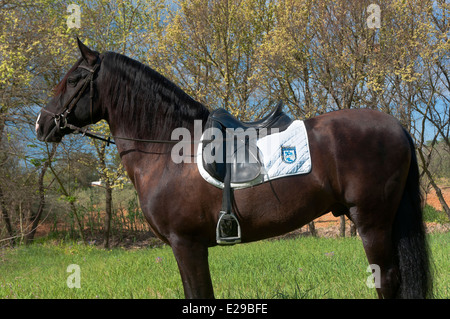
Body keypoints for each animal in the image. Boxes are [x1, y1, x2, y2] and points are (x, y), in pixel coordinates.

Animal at [36, 40, 432, 300]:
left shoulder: (187, 244)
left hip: (371, 221)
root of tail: (396, 126)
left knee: (386, 280)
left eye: (75, 79)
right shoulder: (188, 247)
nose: (42, 124)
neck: (167, 149)